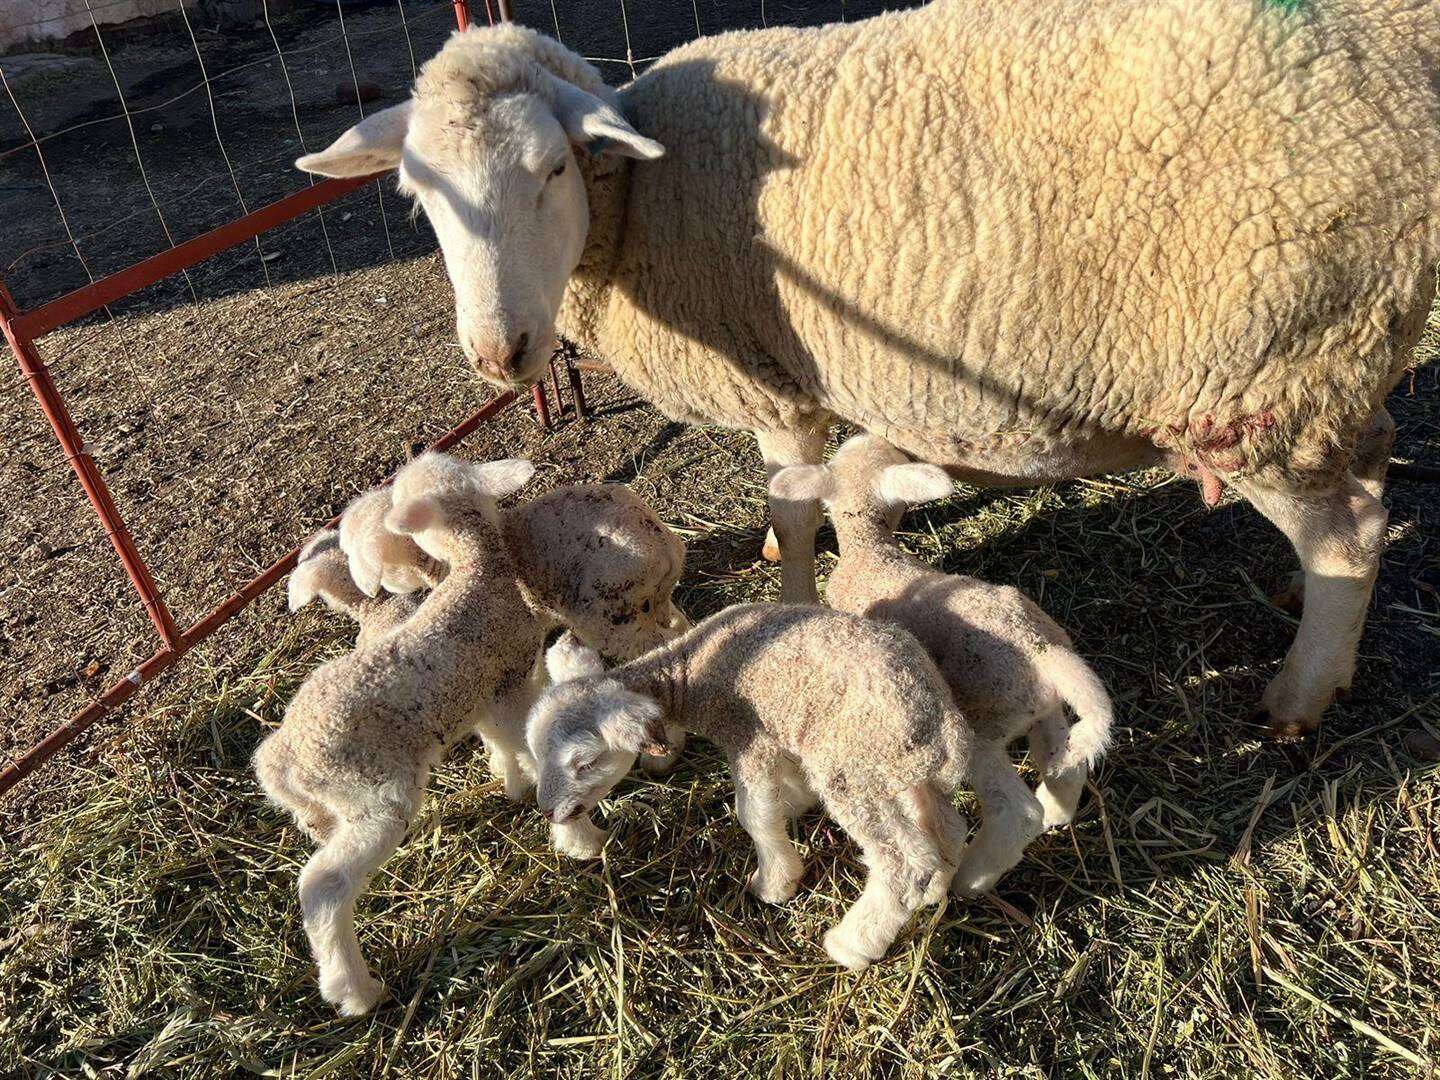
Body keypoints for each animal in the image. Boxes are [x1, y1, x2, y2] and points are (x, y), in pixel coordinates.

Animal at [298, 0, 1440, 743]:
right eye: (417, 196)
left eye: (548, 169)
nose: (502, 354)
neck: (638, 204)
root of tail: (1396, 47)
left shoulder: (774, 380)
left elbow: (797, 501)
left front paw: (792, 592)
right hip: (1325, 370)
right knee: (1369, 480)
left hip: (1268, 375)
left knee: (1348, 534)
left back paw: (1299, 695)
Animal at [524, 610, 1042, 973]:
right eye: (535, 749)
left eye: (585, 763)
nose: (549, 812)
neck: (690, 673)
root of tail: (943, 722)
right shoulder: (779, 731)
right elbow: (786, 787)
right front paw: (794, 803)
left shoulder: (746, 736)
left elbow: (754, 814)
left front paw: (775, 882)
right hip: (892, 767)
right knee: (948, 828)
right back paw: (940, 888)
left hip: (850, 769)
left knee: (904, 862)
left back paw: (853, 943)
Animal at [771, 434, 1117, 898]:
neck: (871, 552)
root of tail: (1046, 652)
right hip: (1042, 707)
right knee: (1064, 764)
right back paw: (1057, 810)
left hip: (983, 724)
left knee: (1016, 811)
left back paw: (972, 879)